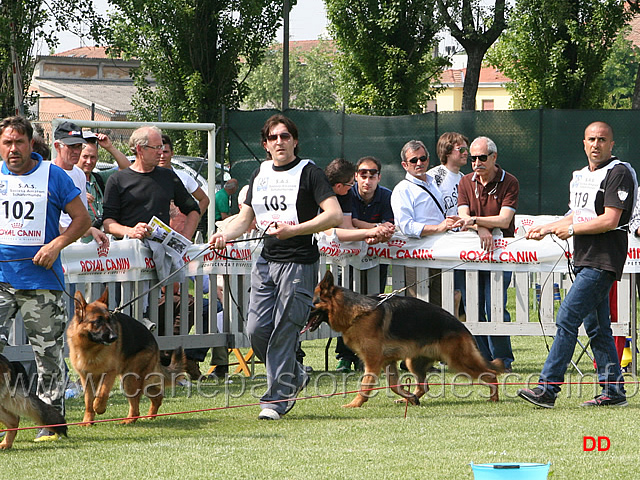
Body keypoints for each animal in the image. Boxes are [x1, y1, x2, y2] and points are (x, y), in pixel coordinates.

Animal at [69, 288, 186, 424]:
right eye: (98, 322)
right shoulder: (86, 378)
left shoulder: (110, 373)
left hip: (129, 380)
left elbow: (102, 393)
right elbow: (88, 400)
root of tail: (154, 341)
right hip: (137, 381)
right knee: (157, 395)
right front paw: (87, 421)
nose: (114, 337)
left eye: (110, 320)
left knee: (136, 408)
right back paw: (149, 416)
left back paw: (128, 420)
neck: (90, 347)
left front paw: (99, 407)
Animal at [302, 272, 502, 406]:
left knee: (491, 374)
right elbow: (393, 385)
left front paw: (354, 404)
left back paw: (494, 397)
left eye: (310, 304)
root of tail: (462, 327)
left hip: (458, 361)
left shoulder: (372, 363)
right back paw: (411, 399)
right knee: (423, 386)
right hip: (413, 362)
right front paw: (408, 396)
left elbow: (365, 386)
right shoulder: (387, 362)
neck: (358, 313)